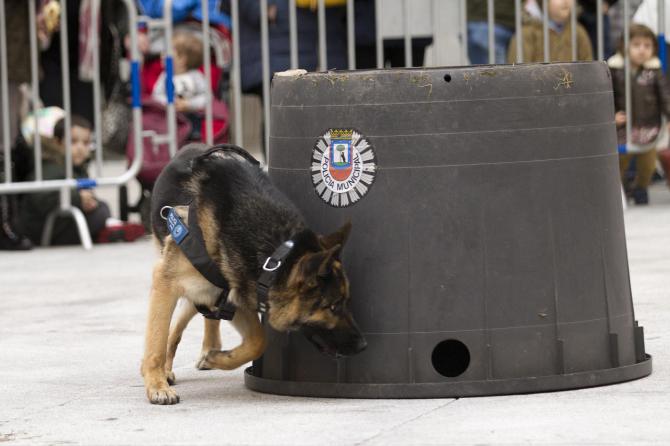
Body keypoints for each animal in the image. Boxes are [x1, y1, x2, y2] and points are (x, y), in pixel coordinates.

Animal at [141, 144, 368, 404]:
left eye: (346, 302)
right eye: (333, 306)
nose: (363, 345)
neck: (274, 257)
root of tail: (191, 147)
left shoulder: (235, 293)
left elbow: (259, 341)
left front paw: (218, 357)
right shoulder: (165, 281)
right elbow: (156, 342)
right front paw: (156, 385)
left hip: (204, 293)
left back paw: (207, 349)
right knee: (170, 329)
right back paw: (164, 371)